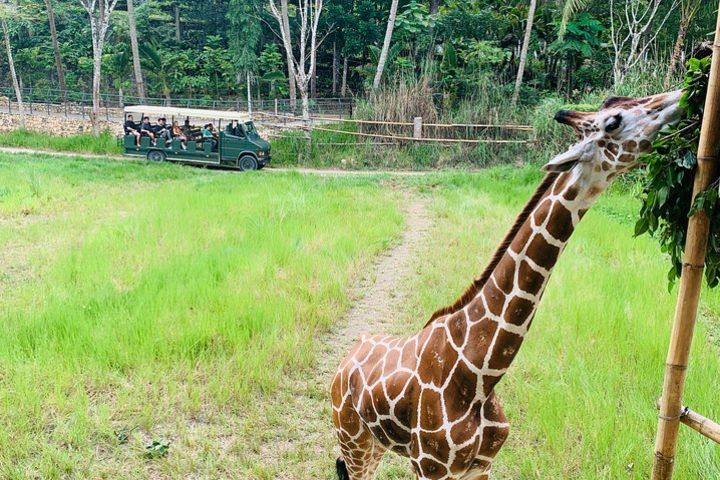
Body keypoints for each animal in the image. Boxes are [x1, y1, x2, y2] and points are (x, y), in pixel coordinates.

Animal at [330, 90, 684, 480]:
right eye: (613, 121)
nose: (681, 98)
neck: (480, 376)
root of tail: (344, 364)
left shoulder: (480, 467)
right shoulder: (429, 467)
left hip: (376, 445)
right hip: (354, 440)